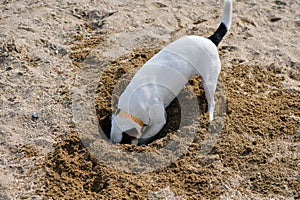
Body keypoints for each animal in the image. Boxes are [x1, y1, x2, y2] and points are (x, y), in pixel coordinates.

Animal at [109, 0, 232, 145]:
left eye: (124, 139)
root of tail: (210, 39)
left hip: (209, 81)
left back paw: (209, 117)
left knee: (212, 102)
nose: (111, 144)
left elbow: (147, 134)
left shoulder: (159, 120)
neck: (133, 105)